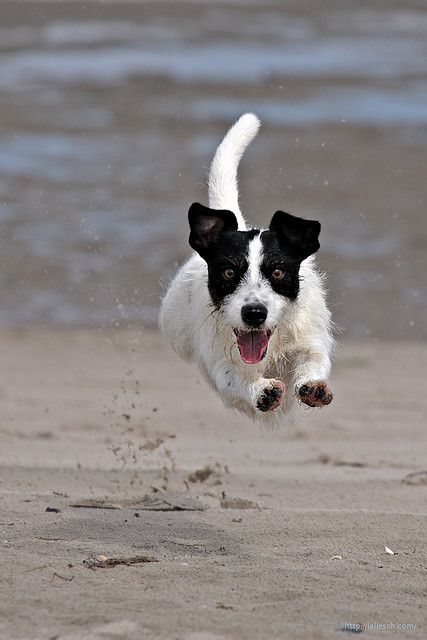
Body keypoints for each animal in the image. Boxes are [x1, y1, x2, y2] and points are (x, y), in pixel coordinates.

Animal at [160, 115, 334, 424]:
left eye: (277, 272)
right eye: (229, 272)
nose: (254, 313)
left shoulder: (309, 337)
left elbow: (312, 357)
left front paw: (312, 384)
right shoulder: (220, 361)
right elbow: (233, 377)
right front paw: (260, 390)